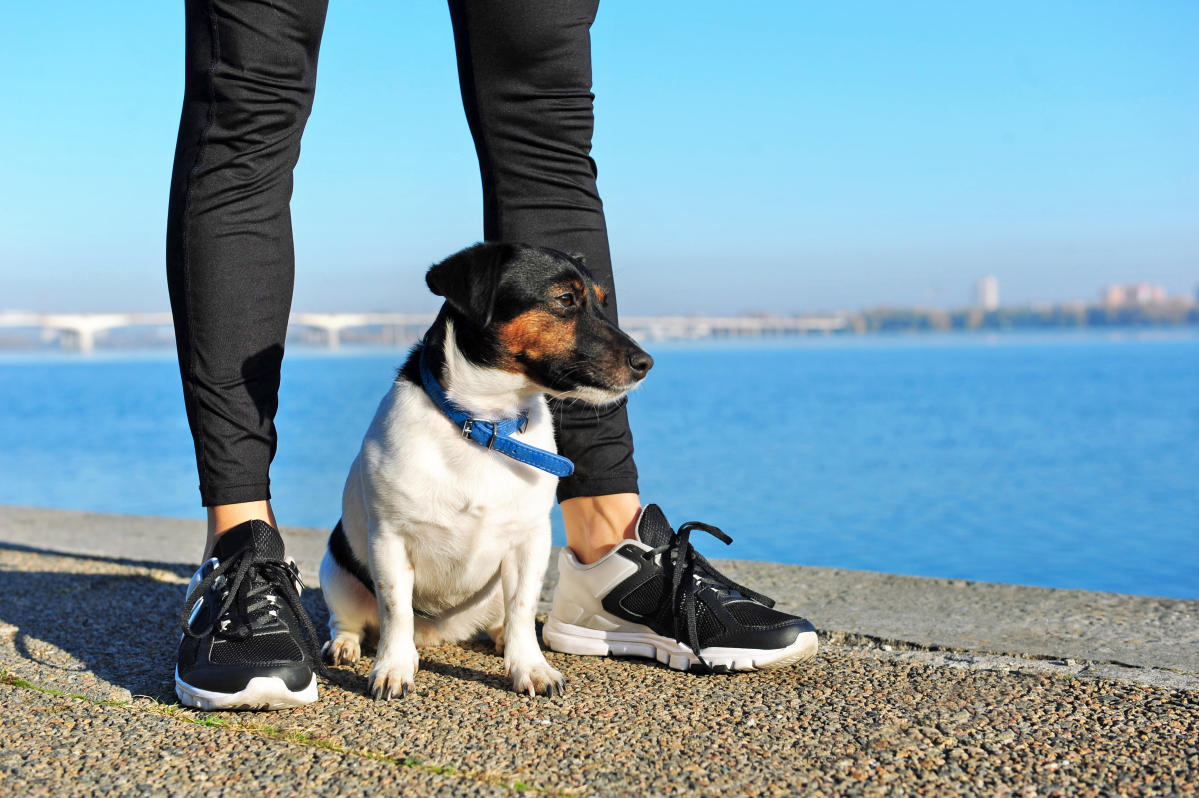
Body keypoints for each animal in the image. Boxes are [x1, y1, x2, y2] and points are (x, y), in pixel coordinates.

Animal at [318, 242, 652, 694]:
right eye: (565, 299)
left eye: (603, 302)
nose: (646, 362)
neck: (483, 426)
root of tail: (440, 634)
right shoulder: (389, 540)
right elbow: (395, 610)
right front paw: (393, 668)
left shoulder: (529, 542)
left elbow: (523, 609)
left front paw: (530, 667)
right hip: (336, 573)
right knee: (347, 621)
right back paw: (346, 646)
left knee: (505, 617)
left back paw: (499, 638)